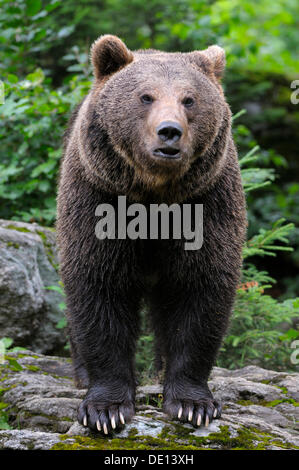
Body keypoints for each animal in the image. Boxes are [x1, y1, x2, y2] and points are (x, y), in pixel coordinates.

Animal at [57, 35, 247, 436]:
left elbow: (199, 291)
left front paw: (192, 404)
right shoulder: (98, 197)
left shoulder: (207, 203)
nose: (169, 131)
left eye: (189, 99)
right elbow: (99, 289)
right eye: (146, 96)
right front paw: (105, 409)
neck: (153, 195)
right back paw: (81, 373)